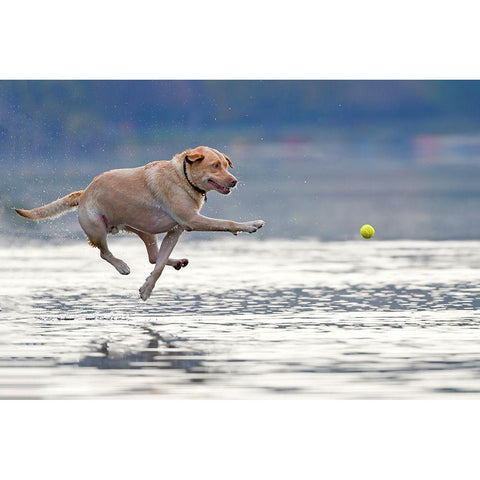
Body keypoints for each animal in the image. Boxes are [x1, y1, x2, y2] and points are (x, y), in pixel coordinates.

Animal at [15, 147, 262, 300]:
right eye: (214, 166)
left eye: (226, 165)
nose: (234, 181)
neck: (183, 178)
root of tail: (84, 192)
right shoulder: (192, 221)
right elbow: (228, 222)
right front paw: (251, 225)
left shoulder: (176, 230)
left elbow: (159, 266)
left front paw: (147, 288)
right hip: (97, 228)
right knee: (104, 253)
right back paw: (122, 266)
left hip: (144, 230)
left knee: (153, 256)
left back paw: (178, 262)